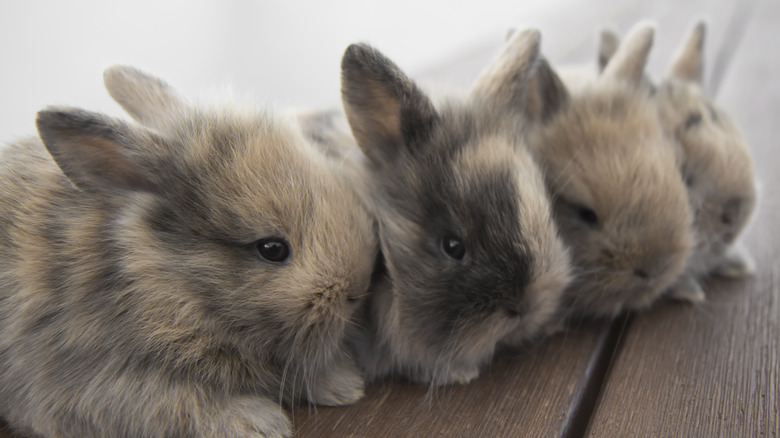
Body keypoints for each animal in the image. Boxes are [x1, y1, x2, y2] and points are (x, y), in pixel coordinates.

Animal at [0, 66, 378, 438]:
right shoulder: (96, 383)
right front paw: (261, 424)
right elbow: (181, 404)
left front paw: (344, 386)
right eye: (272, 249)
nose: (357, 292)